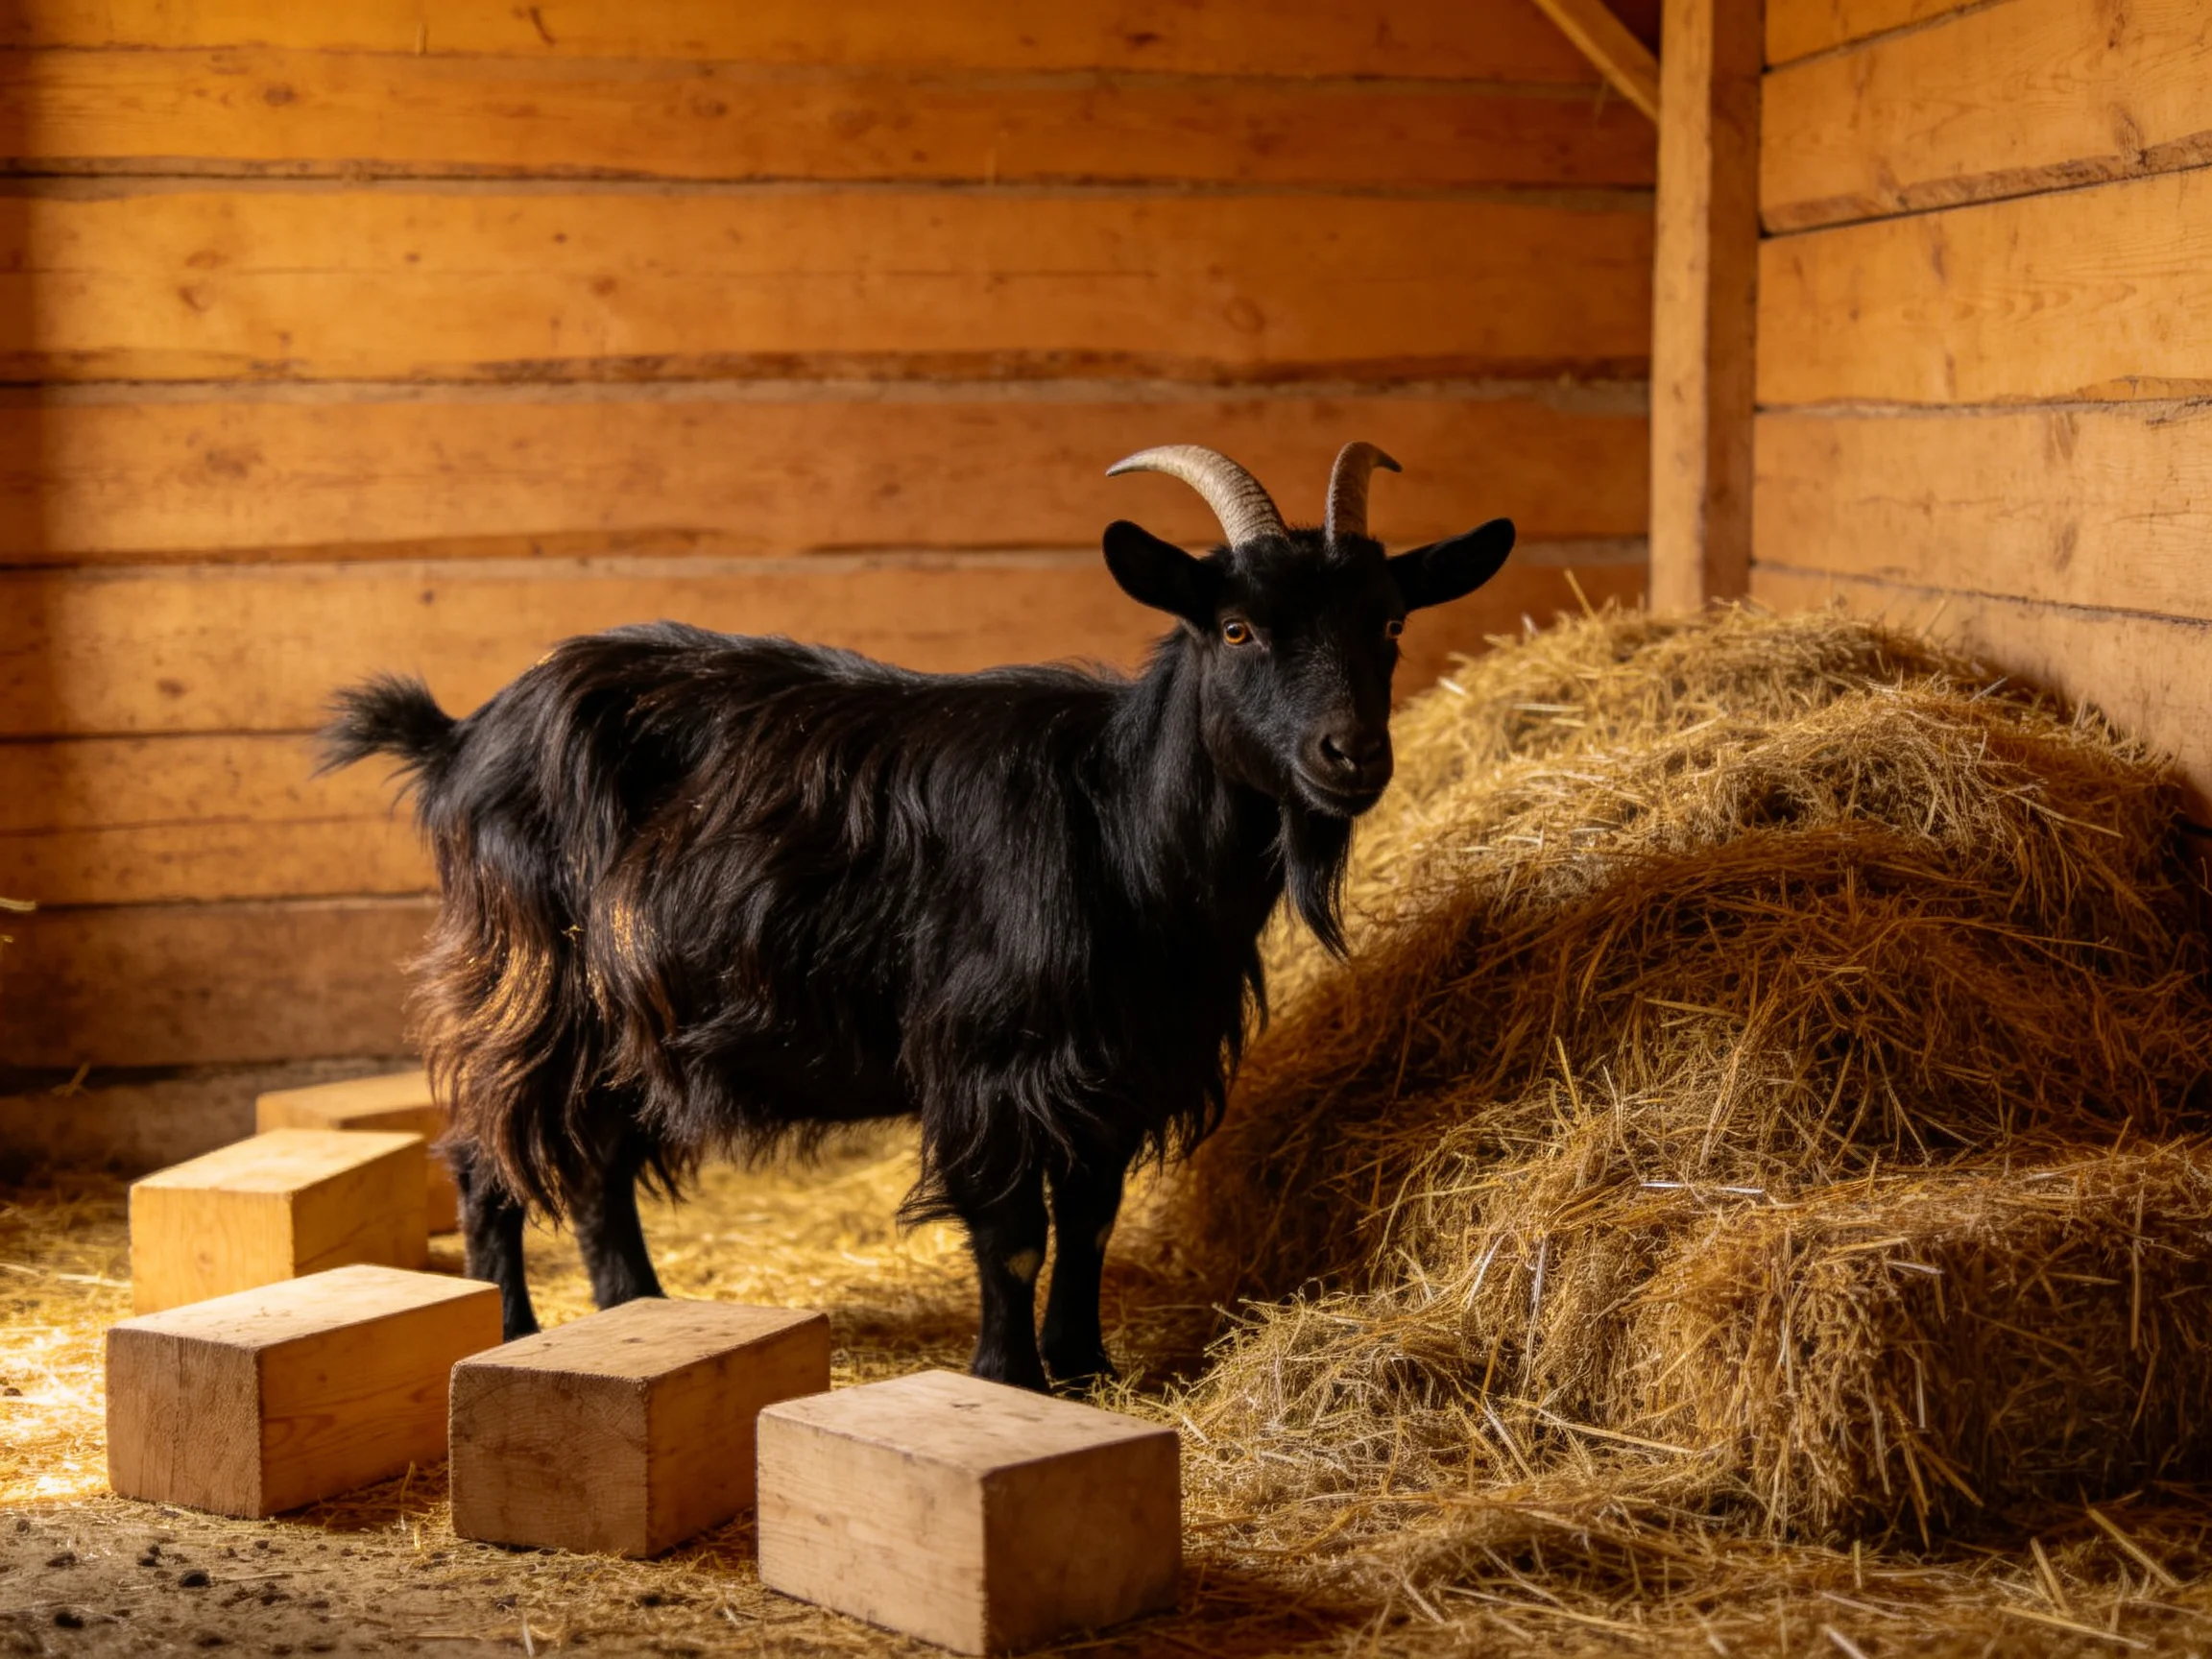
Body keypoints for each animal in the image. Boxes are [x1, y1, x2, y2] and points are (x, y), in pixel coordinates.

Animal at [320, 443, 1513, 1389]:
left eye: (1390, 620)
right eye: (1233, 628)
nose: (1351, 755)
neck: (1117, 824)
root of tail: (459, 738)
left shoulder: (1118, 1066)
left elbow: (1088, 1222)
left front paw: (1087, 1366)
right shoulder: (988, 1057)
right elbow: (1013, 1234)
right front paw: (1010, 1376)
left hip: (616, 1016)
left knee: (594, 1165)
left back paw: (634, 1320)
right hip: (532, 985)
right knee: (491, 1157)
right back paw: (524, 1334)